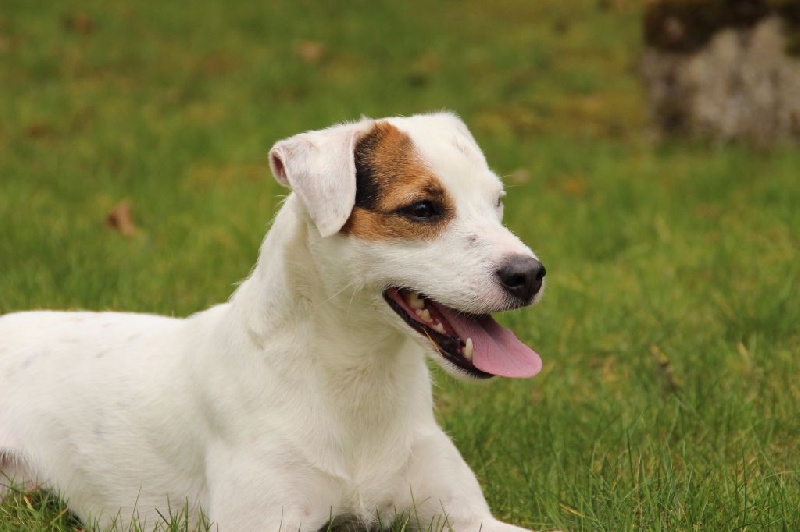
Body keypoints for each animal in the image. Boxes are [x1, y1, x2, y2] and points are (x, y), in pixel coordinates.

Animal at [0, 111, 544, 528]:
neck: (354, 379)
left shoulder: (468, 517)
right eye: (423, 209)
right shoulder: (267, 520)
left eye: (497, 202)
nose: (530, 275)